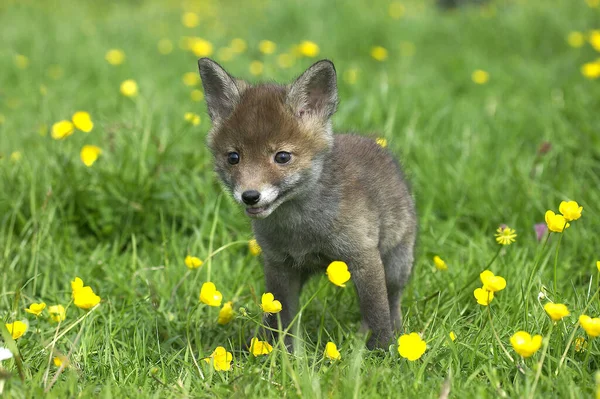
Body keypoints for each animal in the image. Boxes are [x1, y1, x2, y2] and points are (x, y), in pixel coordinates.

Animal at [199, 57, 414, 348]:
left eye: (282, 157)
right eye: (233, 157)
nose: (250, 196)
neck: (300, 229)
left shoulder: (363, 258)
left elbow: (377, 313)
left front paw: (383, 351)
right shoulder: (279, 265)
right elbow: (280, 317)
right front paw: (277, 352)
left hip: (396, 266)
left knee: (392, 302)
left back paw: (395, 335)